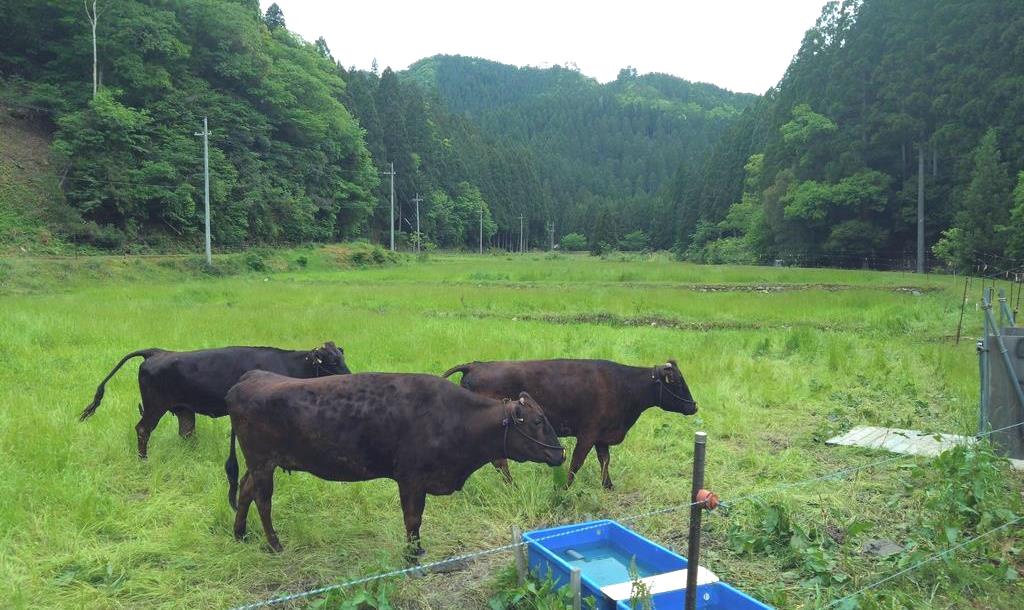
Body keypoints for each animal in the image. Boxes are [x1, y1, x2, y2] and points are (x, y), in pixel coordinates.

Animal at [77, 343, 350, 458]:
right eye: (330, 361)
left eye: (341, 356)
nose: (349, 376)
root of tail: (157, 352)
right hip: (155, 407)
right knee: (143, 429)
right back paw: (143, 459)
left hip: (183, 409)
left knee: (186, 431)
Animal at [222, 368, 569, 560]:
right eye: (538, 421)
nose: (560, 454)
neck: (455, 418)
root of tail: (250, 377)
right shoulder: (411, 478)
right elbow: (413, 519)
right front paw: (412, 554)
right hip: (263, 463)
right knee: (263, 501)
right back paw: (274, 544)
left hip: (259, 464)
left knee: (244, 491)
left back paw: (240, 534)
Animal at [440, 360, 696, 489]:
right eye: (677, 382)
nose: (694, 406)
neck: (623, 386)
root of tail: (477, 364)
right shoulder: (588, 432)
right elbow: (577, 461)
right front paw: (565, 488)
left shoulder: (602, 435)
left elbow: (605, 460)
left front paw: (607, 485)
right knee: (500, 461)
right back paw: (512, 486)